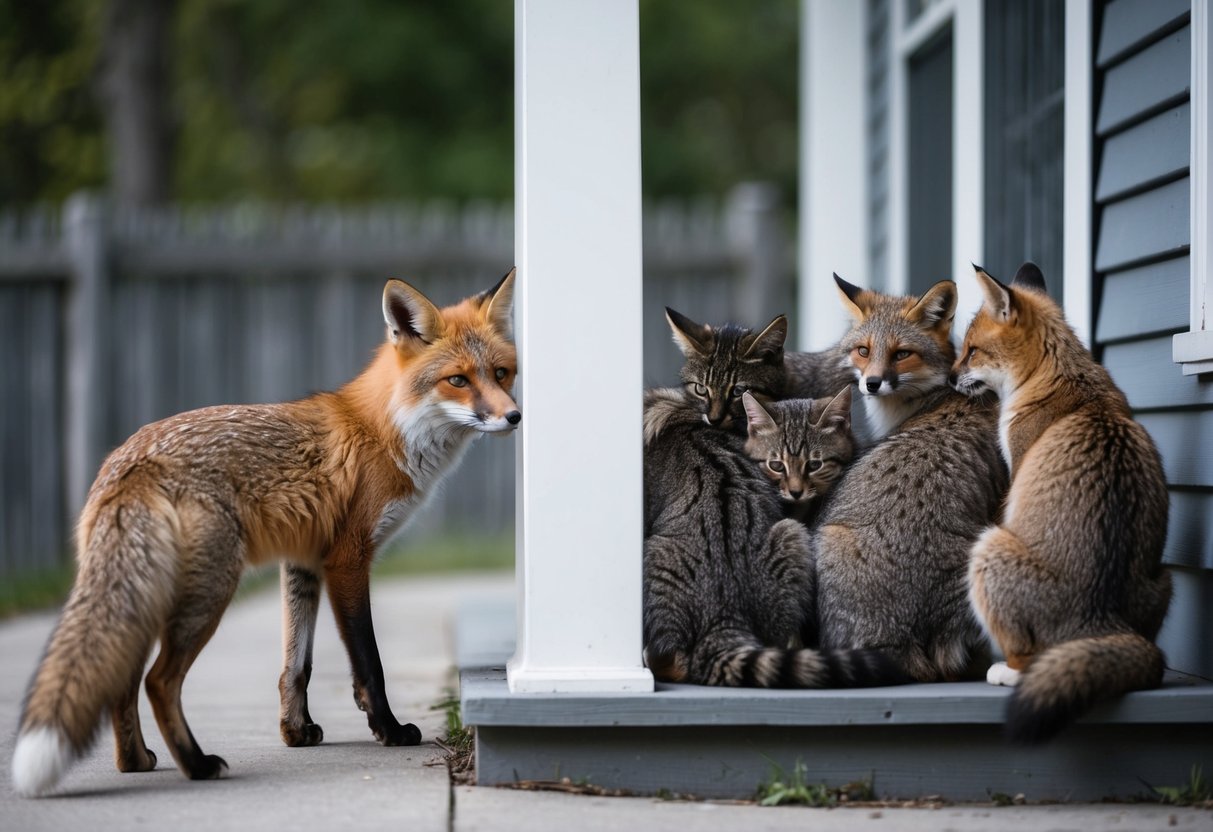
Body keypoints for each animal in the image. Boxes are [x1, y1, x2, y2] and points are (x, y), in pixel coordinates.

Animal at [11, 271, 520, 797]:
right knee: (158, 682)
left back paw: (134, 761)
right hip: (211, 590)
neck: (387, 430)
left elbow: (297, 665)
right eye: (457, 380)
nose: (514, 417)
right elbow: (369, 662)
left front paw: (295, 732)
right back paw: (196, 765)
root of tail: (130, 462)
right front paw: (389, 730)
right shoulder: (347, 559)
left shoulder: (303, 563)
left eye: (503, 373)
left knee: (124, 681)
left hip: (149, 592)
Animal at [950, 262, 1172, 743]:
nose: (949, 379)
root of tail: (1100, 617)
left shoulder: (1013, 478)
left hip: (987, 550)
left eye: (972, 352)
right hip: (1167, 578)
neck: (1053, 378)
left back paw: (1007, 672)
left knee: (1028, 657)